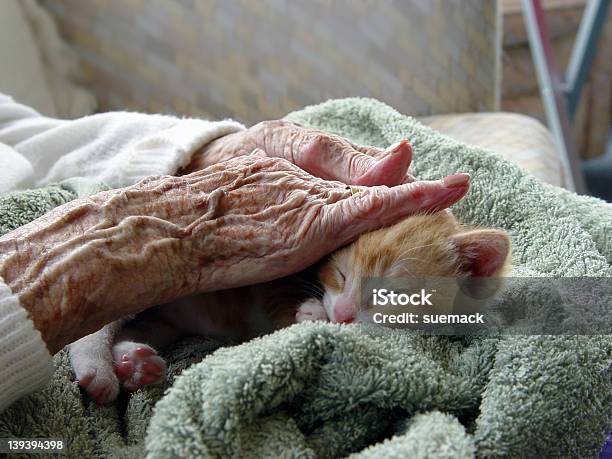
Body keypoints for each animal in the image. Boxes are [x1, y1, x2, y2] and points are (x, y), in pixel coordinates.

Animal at [69, 210, 510, 404]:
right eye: (341, 274)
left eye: (392, 295)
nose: (343, 314)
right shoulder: (273, 266)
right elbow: (280, 295)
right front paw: (310, 313)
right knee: (94, 326)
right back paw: (98, 369)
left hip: (165, 320)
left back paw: (133, 362)